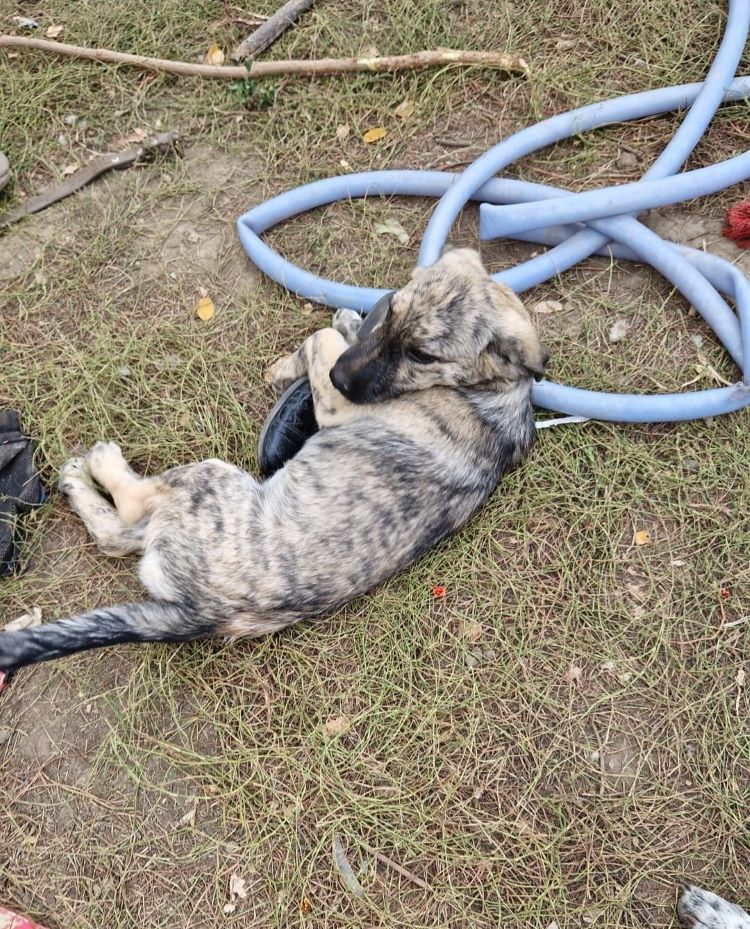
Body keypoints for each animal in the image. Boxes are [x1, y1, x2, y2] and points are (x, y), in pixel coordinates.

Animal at [0, 246, 544, 668]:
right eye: (391, 312)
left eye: (423, 356)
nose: (341, 379)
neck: (487, 388)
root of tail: (199, 616)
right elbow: (335, 337)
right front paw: (345, 323)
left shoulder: (340, 407)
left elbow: (320, 342)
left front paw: (292, 362)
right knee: (116, 534)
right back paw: (77, 481)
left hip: (209, 485)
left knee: (127, 516)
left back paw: (100, 464)